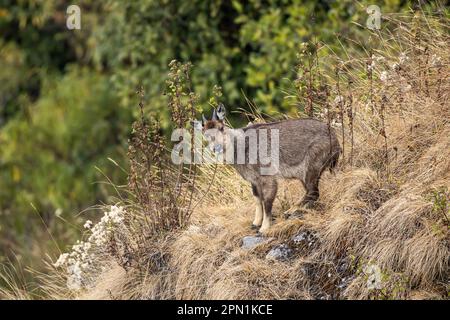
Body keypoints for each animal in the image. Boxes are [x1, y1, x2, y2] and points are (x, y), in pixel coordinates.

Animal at [202, 105, 340, 235]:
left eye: (221, 128)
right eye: (205, 133)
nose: (217, 147)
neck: (242, 147)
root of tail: (336, 142)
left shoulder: (267, 177)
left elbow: (267, 202)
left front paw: (264, 228)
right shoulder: (254, 181)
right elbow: (257, 200)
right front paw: (255, 223)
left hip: (311, 166)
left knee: (314, 192)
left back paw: (291, 211)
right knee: (311, 192)